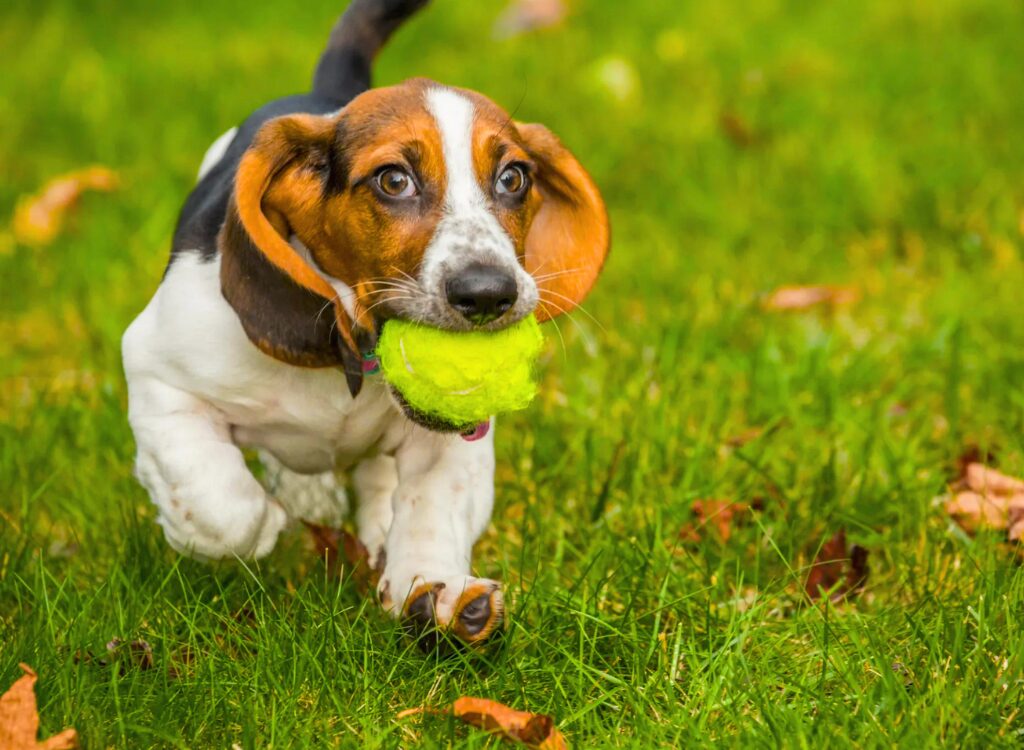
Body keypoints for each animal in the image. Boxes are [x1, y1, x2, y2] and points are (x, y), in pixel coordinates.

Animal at [120, 0, 606, 643]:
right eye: (393, 180)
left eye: (513, 178)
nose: (489, 294)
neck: (353, 354)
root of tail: (332, 91)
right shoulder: (157, 372)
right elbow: (217, 501)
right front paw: (264, 524)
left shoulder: (454, 446)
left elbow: (431, 506)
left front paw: (435, 588)